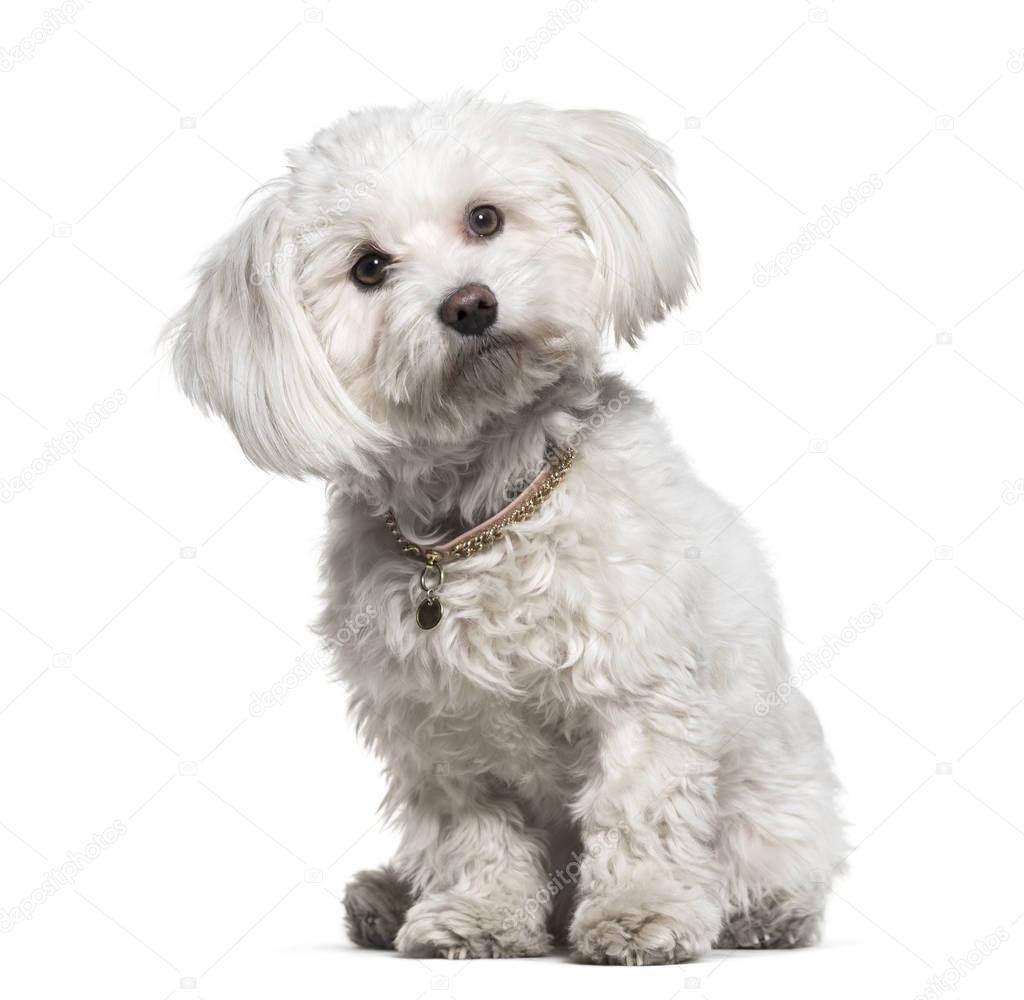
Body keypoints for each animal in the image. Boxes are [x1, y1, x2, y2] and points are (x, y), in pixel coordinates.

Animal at [167, 95, 843, 966]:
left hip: (775, 804)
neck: (487, 513)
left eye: (484, 218)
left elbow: (638, 807)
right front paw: (480, 916)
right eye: (368, 268)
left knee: (775, 863)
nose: (469, 303)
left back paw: (765, 911)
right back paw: (389, 897)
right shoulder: (441, 733)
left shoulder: (639, 693)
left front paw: (640, 912)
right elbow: (475, 834)